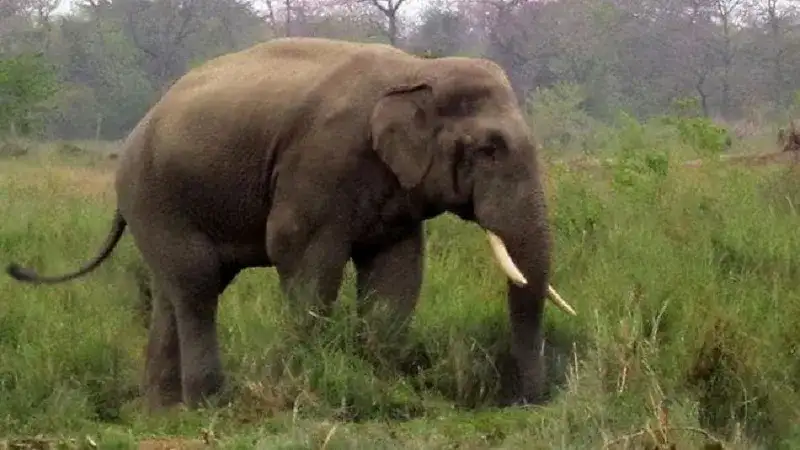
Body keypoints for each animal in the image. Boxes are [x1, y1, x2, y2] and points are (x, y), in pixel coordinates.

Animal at [4, 37, 576, 412]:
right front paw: (309, 387)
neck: (420, 68)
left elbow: (396, 273)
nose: (524, 401)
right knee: (197, 285)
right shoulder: (322, 159)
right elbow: (301, 255)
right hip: (156, 197)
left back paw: (163, 410)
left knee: (172, 293)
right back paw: (210, 403)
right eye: (490, 149)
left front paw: (381, 388)